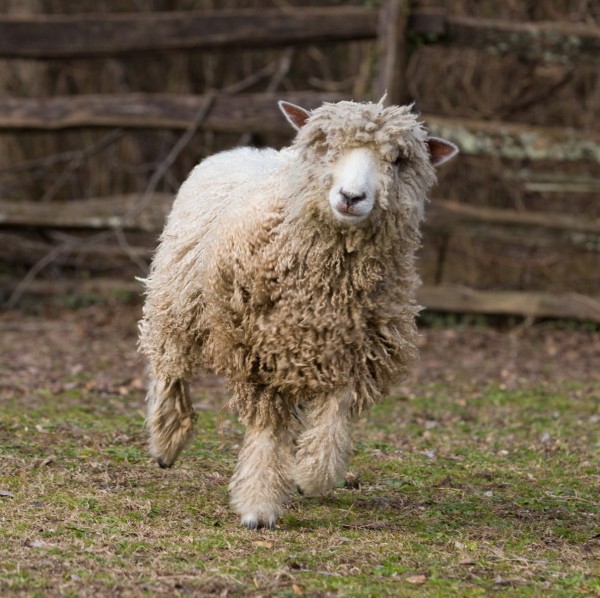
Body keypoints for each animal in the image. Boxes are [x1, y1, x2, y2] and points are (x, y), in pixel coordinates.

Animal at [139, 98, 460, 528]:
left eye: (398, 160)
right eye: (324, 145)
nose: (351, 196)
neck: (328, 286)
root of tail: (249, 150)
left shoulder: (354, 355)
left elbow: (334, 421)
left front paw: (311, 476)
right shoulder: (256, 352)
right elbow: (267, 429)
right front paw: (258, 504)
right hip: (175, 296)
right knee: (169, 368)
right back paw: (166, 440)